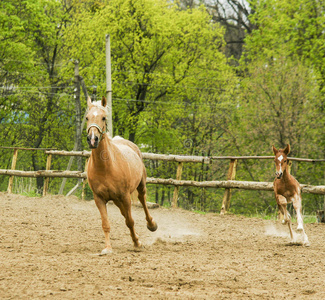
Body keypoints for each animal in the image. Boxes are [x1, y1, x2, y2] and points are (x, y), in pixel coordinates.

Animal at [86, 96, 157, 255]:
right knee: (125, 214)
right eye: (87, 117)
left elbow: (130, 221)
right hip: (117, 200)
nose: (93, 139)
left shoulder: (125, 196)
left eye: (103, 117)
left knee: (142, 201)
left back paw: (151, 225)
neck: (106, 167)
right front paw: (108, 248)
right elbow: (106, 224)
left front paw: (137, 244)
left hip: (140, 186)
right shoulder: (99, 199)